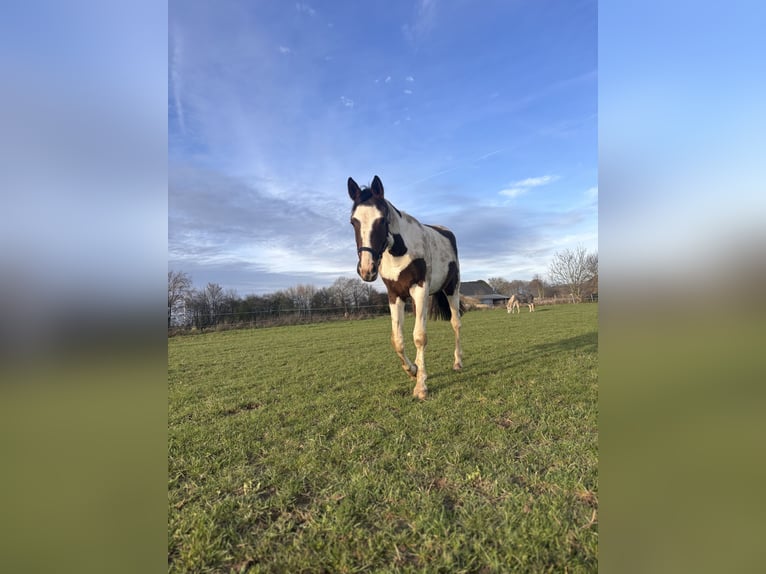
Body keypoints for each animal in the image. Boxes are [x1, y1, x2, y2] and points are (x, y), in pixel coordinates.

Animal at [348, 175, 463, 400]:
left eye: (382, 220)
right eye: (353, 221)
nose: (367, 269)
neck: (399, 251)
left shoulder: (420, 289)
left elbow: (419, 337)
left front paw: (421, 387)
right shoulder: (395, 295)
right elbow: (398, 340)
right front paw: (413, 371)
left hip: (451, 289)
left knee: (456, 323)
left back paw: (458, 362)